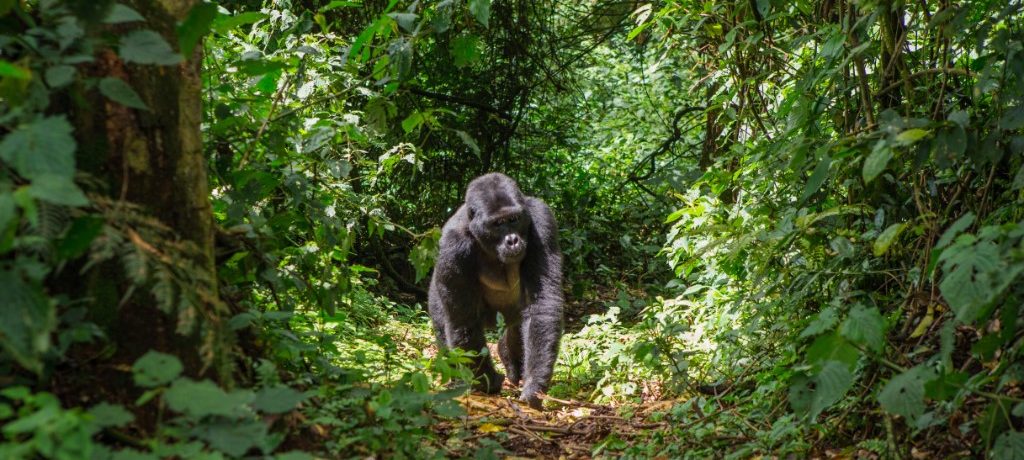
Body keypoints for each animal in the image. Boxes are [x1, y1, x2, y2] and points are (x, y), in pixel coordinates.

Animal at [428, 173, 565, 409]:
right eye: (497, 224)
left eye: (514, 219)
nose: (513, 240)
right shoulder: (452, 245)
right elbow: (464, 321)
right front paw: (487, 382)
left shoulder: (542, 219)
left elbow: (542, 304)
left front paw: (534, 385)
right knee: (444, 324)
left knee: (518, 327)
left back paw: (509, 355)